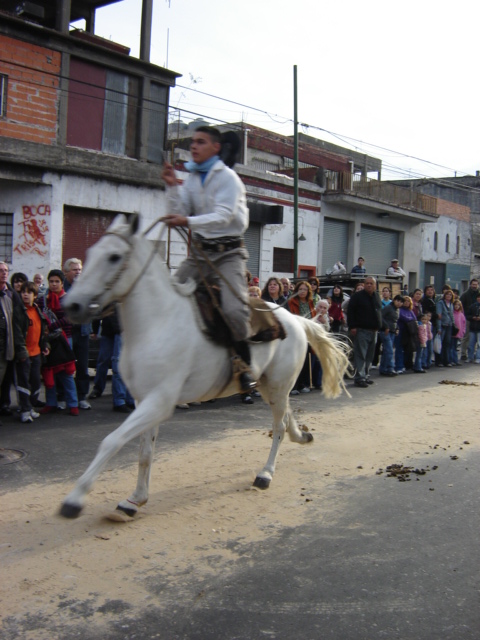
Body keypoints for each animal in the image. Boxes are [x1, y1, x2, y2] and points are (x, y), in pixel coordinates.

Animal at [60, 215, 348, 520]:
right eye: (90, 253)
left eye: (114, 257)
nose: (72, 305)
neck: (157, 321)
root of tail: (294, 319)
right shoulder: (143, 401)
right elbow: (144, 453)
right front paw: (135, 499)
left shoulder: (158, 402)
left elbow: (112, 441)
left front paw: (75, 499)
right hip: (271, 386)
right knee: (286, 416)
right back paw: (301, 436)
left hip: (279, 386)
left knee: (278, 426)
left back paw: (266, 473)